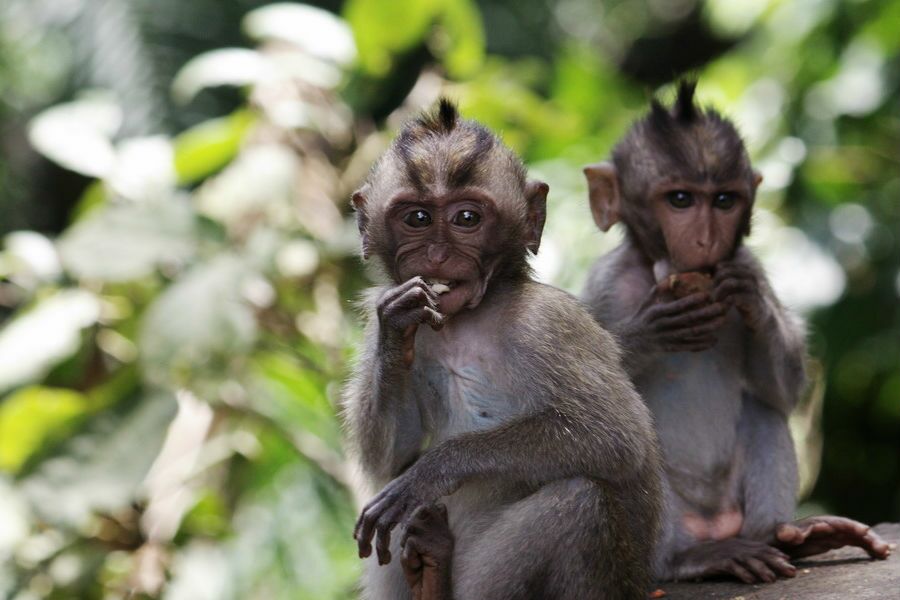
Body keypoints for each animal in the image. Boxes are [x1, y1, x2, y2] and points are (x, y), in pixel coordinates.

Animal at [343, 99, 664, 600]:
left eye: (467, 219)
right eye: (417, 219)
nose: (438, 256)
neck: (465, 323)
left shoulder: (548, 324)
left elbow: (616, 437)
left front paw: (434, 469)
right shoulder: (379, 320)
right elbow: (388, 458)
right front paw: (399, 329)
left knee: (578, 499)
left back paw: (436, 566)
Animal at [579, 81, 891, 584]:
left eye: (725, 201)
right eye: (680, 200)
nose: (707, 240)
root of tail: (713, 525)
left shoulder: (749, 262)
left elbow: (784, 391)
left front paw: (752, 301)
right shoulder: (608, 287)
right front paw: (653, 328)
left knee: (764, 410)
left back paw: (791, 538)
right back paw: (688, 560)